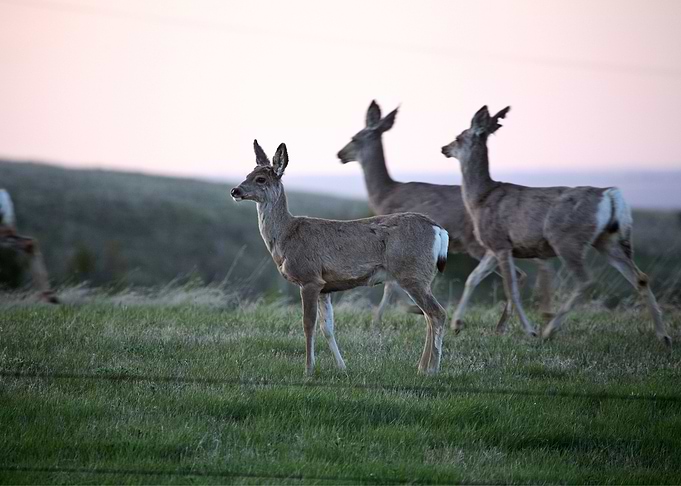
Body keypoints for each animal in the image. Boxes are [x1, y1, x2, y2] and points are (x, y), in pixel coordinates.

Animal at [231, 140, 449, 375]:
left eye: (261, 179)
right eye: (248, 174)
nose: (235, 190)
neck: (286, 235)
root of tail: (438, 230)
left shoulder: (309, 278)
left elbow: (308, 324)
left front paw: (308, 370)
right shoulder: (325, 286)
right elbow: (327, 327)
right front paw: (342, 367)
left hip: (412, 273)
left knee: (437, 313)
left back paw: (431, 369)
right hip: (420, 276)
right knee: (428, 315)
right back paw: (421, 367)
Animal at [337, 100, 554, 334]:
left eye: (354, 137)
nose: (340, 154)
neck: (385, 193)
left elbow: (390, 285)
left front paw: (381, 320)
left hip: (477, 243)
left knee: (519, 273)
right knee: (539, 263)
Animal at [441, 106, 671, 346]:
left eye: (459, 137)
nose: (444, 148)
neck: (481, 198)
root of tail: (609, 194)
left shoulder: (500, 242)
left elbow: (510, 288)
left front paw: (529, 331)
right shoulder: (494, 247)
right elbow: (473, 278)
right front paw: (456, 324)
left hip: (567, 239)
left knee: (586, 279)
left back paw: (549, 330)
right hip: (609, 240)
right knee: (640, 278)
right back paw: (664, 337)